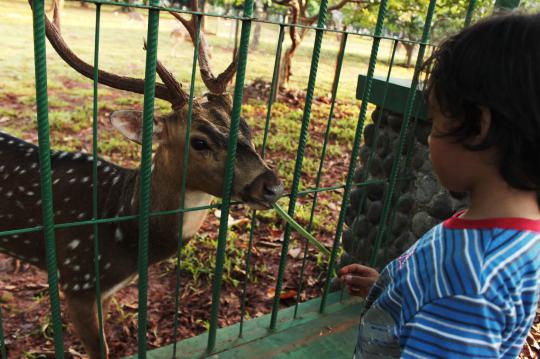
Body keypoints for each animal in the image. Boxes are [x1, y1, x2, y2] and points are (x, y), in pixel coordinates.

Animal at [0, 2, 284, 358]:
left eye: (246, 127)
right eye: (199, 141)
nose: (272, 186)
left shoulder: (106, 290)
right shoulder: (77, 282)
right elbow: (101, 350)